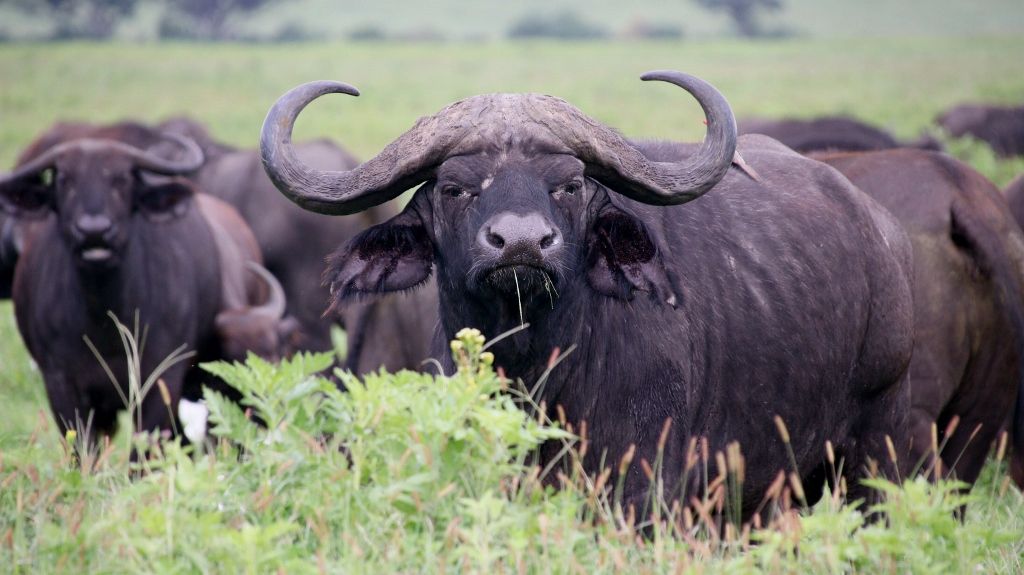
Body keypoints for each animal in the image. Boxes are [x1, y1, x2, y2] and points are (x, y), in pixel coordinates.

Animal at [0, 131, 287, 445]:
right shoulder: (61, 383)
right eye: (64, 179)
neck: (105, 319)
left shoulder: (161, 381)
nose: (94, 232)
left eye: (122, 178)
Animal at [260, 72, 915, 519]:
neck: (538, 367)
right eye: (454, 188)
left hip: (878, 450)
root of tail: (883, 234)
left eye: (570, 184)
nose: (521, 243)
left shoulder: (644, 486)